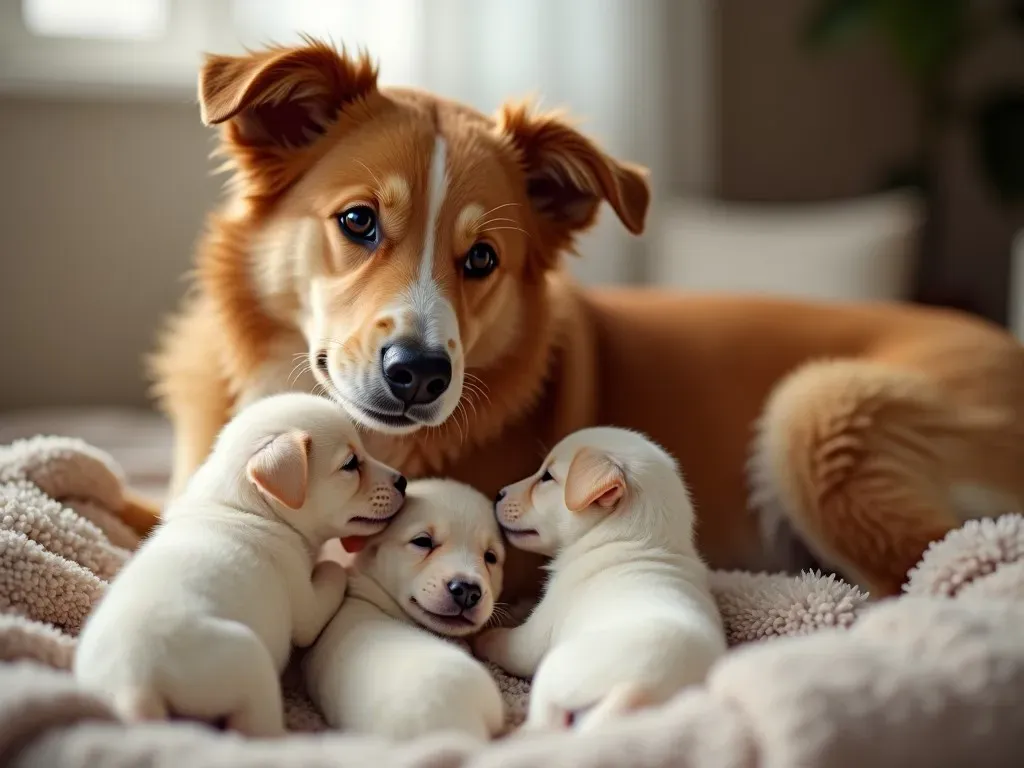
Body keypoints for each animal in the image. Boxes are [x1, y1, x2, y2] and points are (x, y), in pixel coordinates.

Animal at [74, 393, 407, 737]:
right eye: (350, 465)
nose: (404, 482)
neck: (243, 505)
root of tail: (134, 686)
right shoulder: (307, 606)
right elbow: (332, 573)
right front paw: (342, 566)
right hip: (251, 663)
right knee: (253, 729)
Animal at [473, 428, 724, 733]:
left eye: (547, 477)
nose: (498, 494)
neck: (636, 537)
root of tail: (641, 688)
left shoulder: (535, 635)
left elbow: (507, 644)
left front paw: (481, 638)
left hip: (554, 669)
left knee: (546, 722)